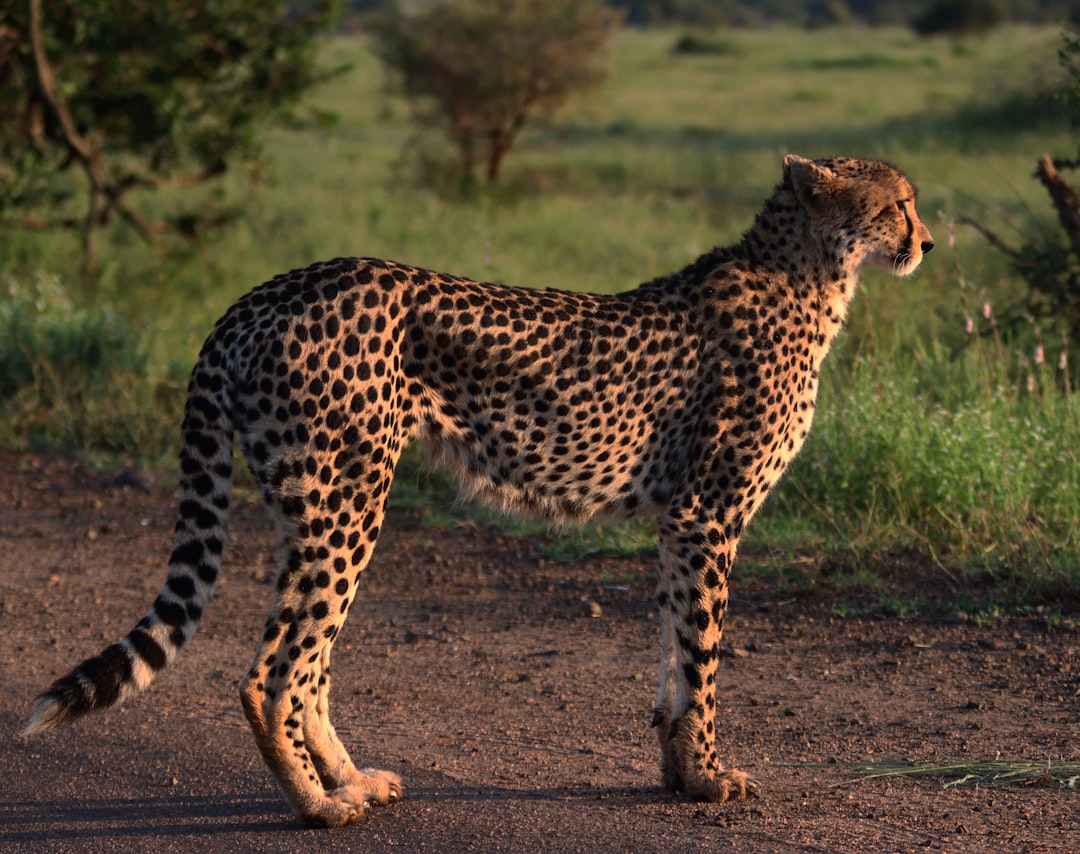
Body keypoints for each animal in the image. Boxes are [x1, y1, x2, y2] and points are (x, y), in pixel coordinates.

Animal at [27, 155, 937, 829]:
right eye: (899, 204)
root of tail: (273, 287)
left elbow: (676, 657)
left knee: (309, 664)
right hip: (350, 498)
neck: (810, 273)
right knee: (275, 671)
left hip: (314, 503)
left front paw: (681, 772)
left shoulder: (680, 527)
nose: (927, 242)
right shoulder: (709, 516)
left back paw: (352, 781)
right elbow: (702, 658)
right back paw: (320, 806)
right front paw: (712, 778)